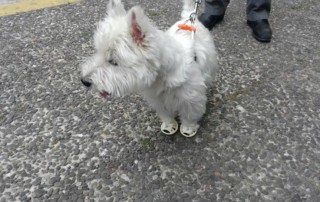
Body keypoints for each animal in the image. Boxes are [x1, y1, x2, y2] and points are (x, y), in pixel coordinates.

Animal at [81, 0, 219, 137]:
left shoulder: (191, 99)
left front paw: (188, 128)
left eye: (113, 62)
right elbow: (165, 114)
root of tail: (190, 18)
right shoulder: (158, 100)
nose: (84, 81)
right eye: (98, 52)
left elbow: (190, 115)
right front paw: (169, 125)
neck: (160, 77)